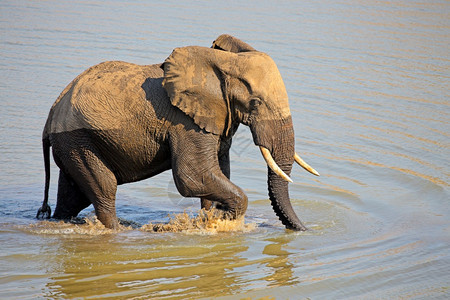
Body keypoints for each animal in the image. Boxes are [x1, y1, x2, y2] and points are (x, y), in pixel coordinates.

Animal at [37, 34, 320, 231]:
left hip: (73, 144)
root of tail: (51, 115)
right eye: (256, 103)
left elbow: (218, 171)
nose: (305, 230)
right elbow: (193, 176)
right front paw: (223, 220)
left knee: (72, 196)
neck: (221, 63)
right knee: (104, 189)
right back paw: (118, 230)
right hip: (79, 140)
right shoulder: (185, 122)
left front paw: (212, 218)